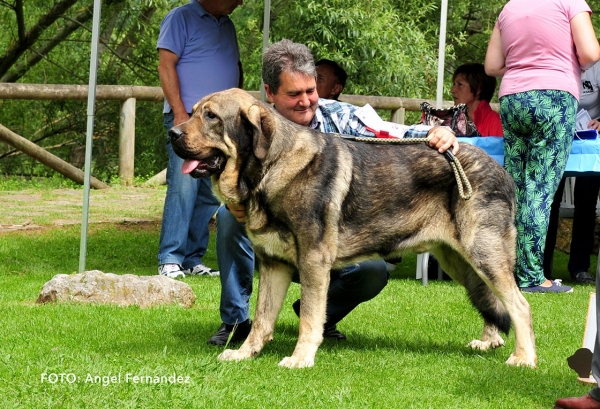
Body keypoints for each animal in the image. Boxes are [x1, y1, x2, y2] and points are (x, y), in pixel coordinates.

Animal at [171, 87, 536, 368]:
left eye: (212, 117)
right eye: (194, 113)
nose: (172, 134)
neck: (268, 168)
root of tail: (502, 171)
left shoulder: (313, 261)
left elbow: (309, 317)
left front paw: (300, 359)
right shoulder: (273, 265)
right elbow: (262, 318)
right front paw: (245, 353)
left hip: (483, 254)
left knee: (520, 305)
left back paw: (523, 358)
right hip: (459, 261)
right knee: (491, 301)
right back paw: (490, 341)